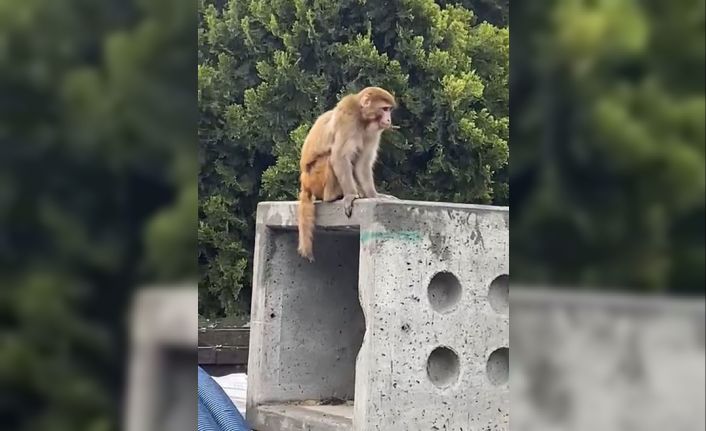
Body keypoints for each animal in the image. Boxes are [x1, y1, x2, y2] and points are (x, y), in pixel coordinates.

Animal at [296, 87, 396, 262]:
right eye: (384, 109)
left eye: (389, 110)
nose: (389, 119)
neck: (362, 118)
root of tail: (305, 182)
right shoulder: (347, 119)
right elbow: (339, 156)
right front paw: (350, 195)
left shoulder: (373, 132)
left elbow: (361, 164)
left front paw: (374, 195)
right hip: (315, 177)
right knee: (330, 158)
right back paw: (332, 196)